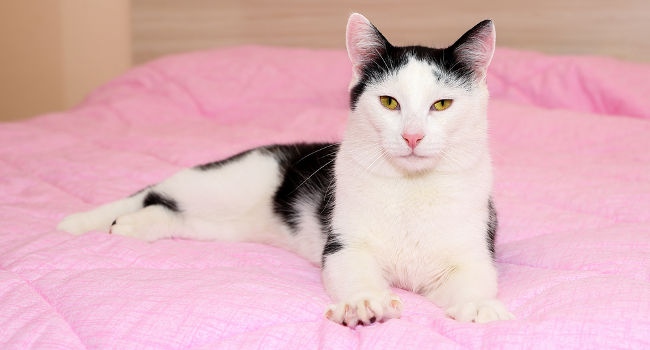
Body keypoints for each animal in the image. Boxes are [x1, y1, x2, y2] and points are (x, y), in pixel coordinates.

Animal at [57, 13, 512, 326]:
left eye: (442, 104)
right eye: (388, 102)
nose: (413, 136)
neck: (411, 187)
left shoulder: (474, 249)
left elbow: (475, 278)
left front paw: (478, 306)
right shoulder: (343, 246)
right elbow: (354, 272)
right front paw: (364, 302)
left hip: (222, 225)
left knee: (170, 213)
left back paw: (135, 226)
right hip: (223, 182)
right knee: (156, 191)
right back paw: (89, 222)